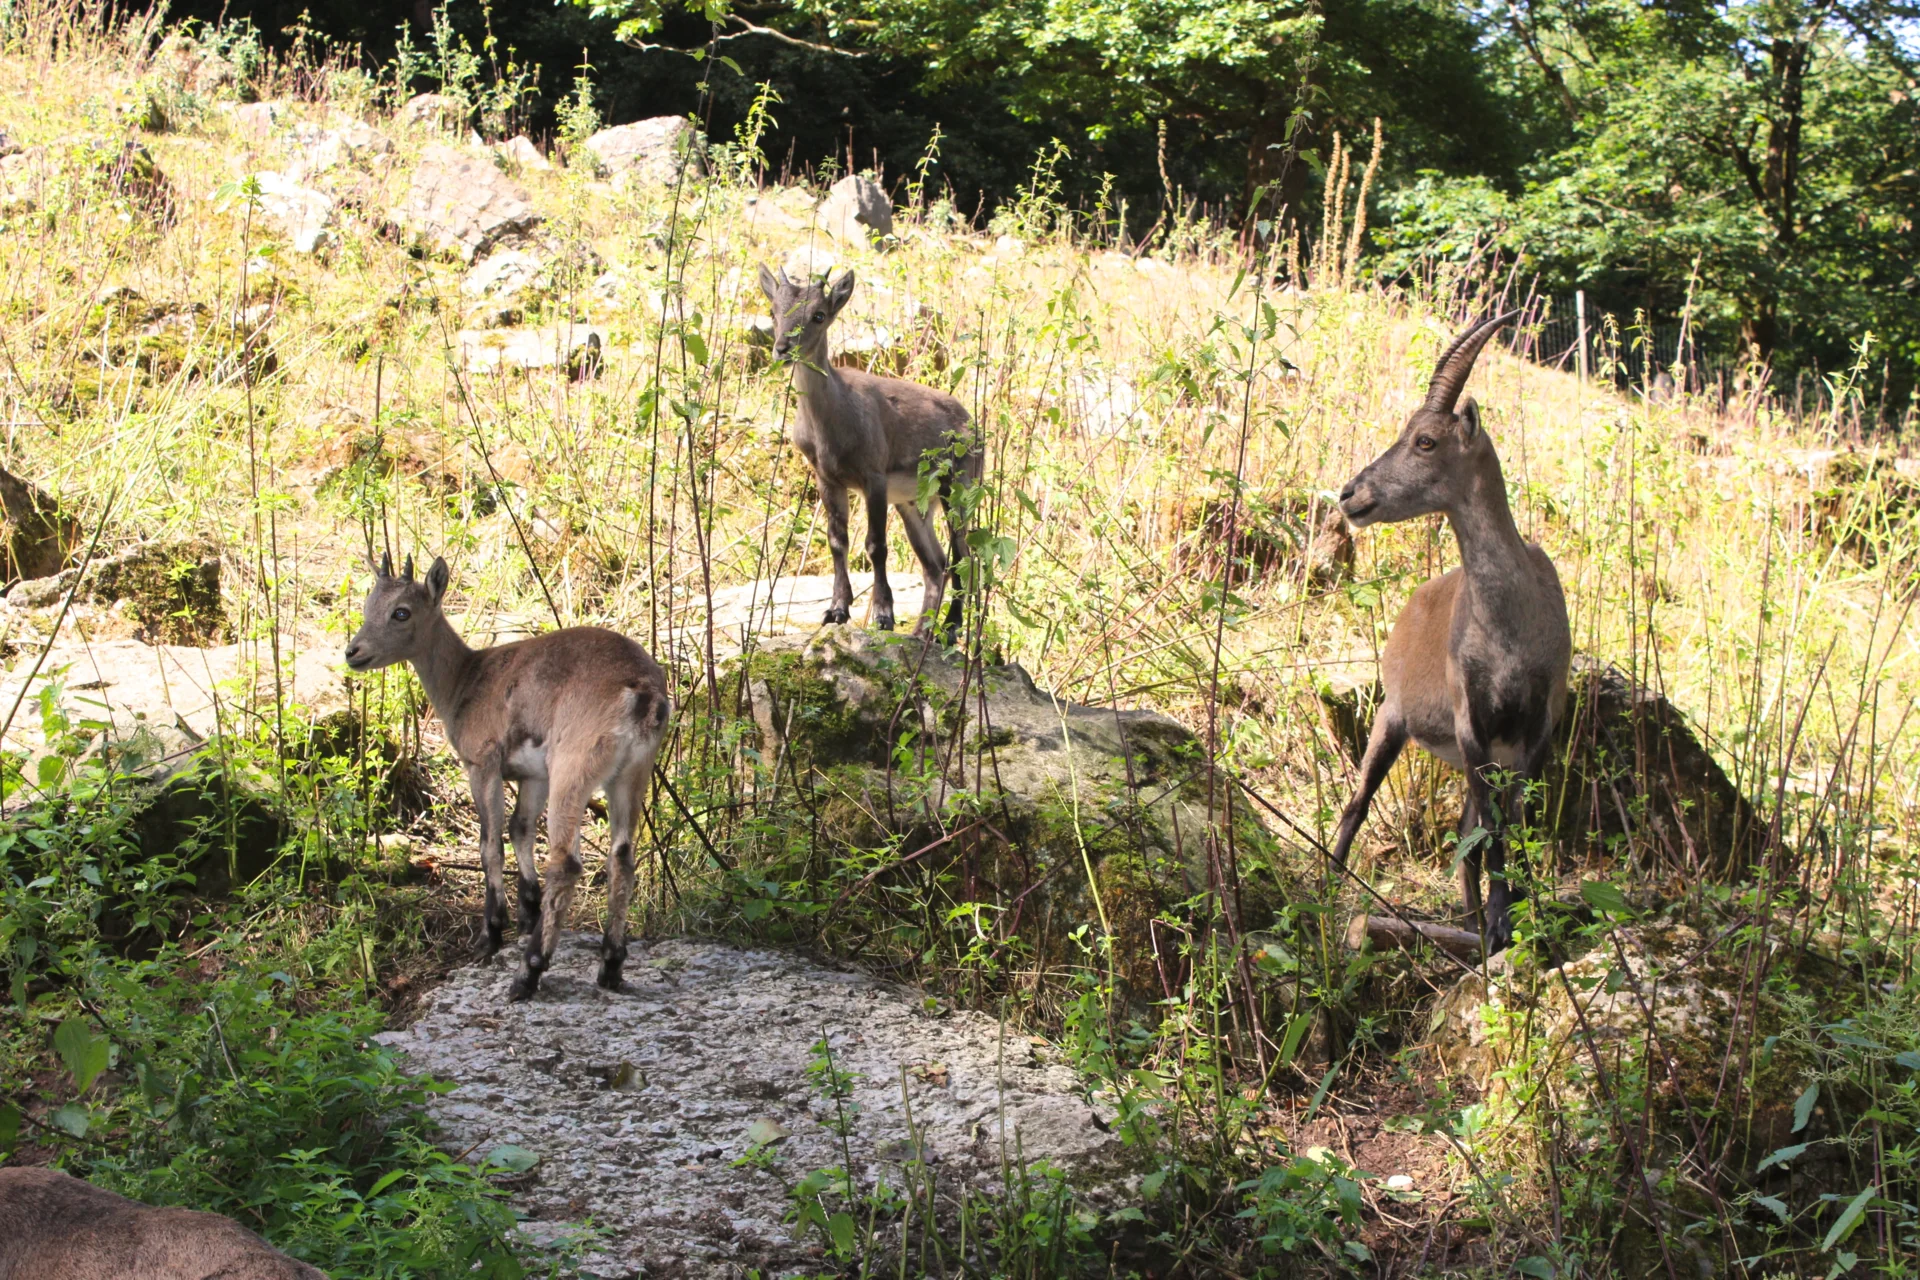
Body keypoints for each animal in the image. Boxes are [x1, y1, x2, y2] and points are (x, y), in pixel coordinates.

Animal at [345, 554, 672, 1000]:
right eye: (367, 604)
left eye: (401, 612)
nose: (354, 652)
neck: (466, 681)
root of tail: (642, 695)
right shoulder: (534, 775)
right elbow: (520, 828)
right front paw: (527, 910)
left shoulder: (482, 761)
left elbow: (490, 844)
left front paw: (492, 934)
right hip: (632, 774)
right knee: (622, 856)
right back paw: (610, 966)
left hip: (575, 764)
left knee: (566, 862)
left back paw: (528, 973)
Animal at [758, 265, 981, 637]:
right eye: (774, 312)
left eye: (819, 315)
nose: (783, 349)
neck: (832, 421)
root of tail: (973, 424)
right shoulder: (828, 479)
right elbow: (837, 540)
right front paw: (836, 610)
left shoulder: (873, 476)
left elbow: (876, 545)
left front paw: (882, 615)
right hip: (913, 505)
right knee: (936, 564)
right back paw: (922, 632)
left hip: (958, 486)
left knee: (963, 556)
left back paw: (950, 627)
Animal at [1331, 312, 1571, 953]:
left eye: (1425, 440)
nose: (1350, 494)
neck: (1511, 625)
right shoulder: (1471, 718)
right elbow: (1491, 832)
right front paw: (1502, 922)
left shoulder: (1535, 728)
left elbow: (1507, 829)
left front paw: (1517, 920)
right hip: (1391, 717)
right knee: (1357, 804)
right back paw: (1324, 883)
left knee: (1464, 837)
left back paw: (1468, 925)